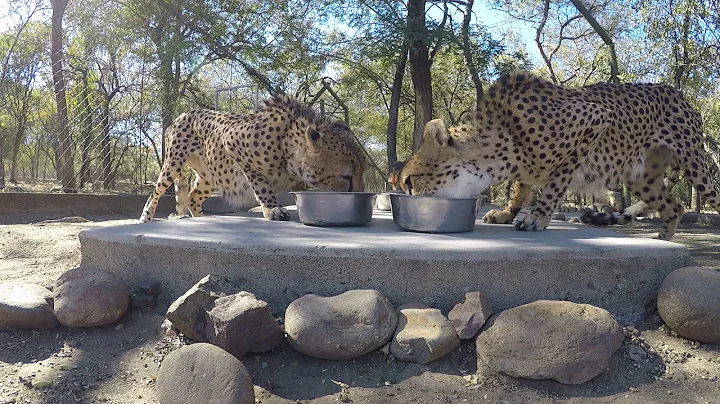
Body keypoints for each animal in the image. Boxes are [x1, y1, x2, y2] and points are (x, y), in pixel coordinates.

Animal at [139, 94, 367, 223]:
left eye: (362, 172)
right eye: (346, 176)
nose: (359, 193)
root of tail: (182, 114)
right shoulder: (232, 143)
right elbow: (261, 184)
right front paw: (272, 209)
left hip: (210, 176)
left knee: (194, 196)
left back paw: (201, 218)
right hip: (173, 163)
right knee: (155, 194)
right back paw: (146, 219)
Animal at [395, 72, 720, 240]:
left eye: (409, 181)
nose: (403, 195)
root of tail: (675, 91)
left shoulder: (596, 118)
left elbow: (556, 181)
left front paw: (537, 217)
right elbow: (520, 187)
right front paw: (506, 213)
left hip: (696, 166)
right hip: (641, 177)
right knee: (674, 207)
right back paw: (663, 239)